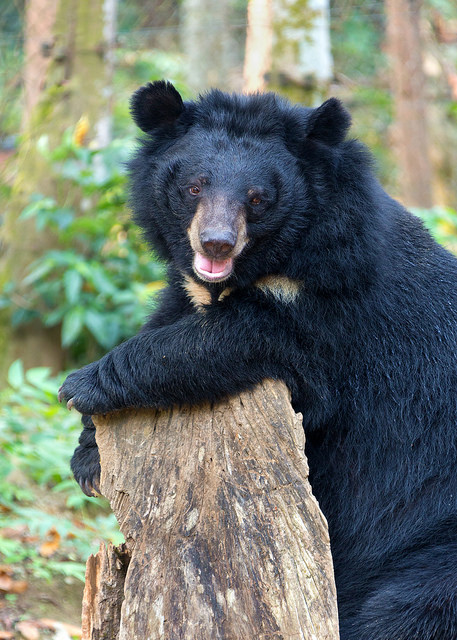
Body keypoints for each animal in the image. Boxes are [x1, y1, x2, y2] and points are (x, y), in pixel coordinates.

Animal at [60, 81, 457, 640]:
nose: (216, 244)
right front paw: (90, 457)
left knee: (408, 609)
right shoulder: (194, 291)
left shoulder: (330, 315)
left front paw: (82, 386)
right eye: (194, 187)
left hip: (431, 541)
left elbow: (227, 341)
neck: (271, 265)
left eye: (257, 198)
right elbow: (170, 317)